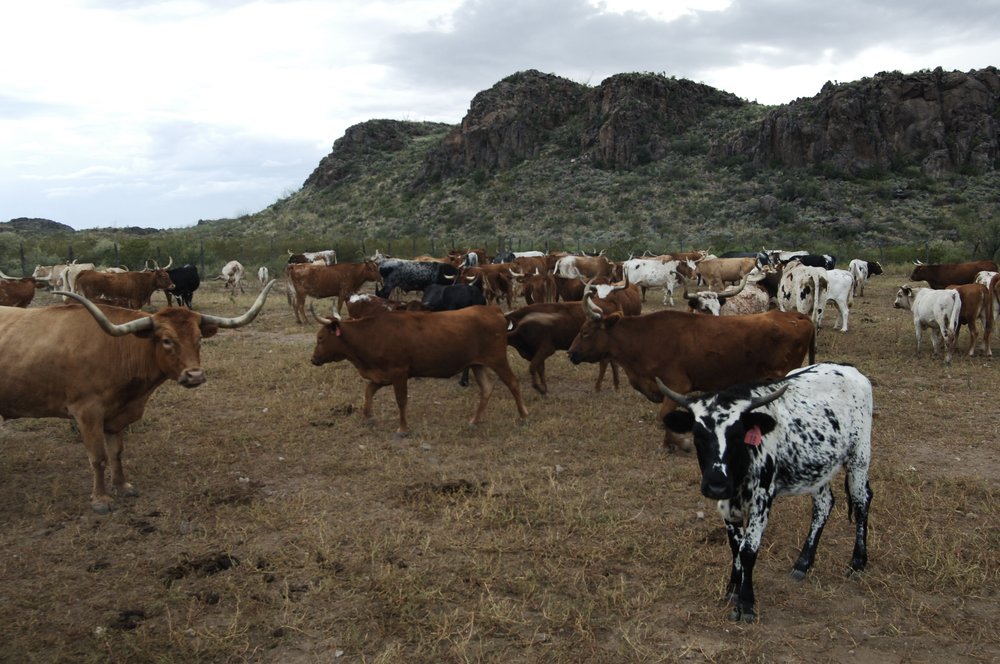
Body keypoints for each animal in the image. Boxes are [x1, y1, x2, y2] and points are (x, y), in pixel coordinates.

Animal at [0, 281, 277, 513]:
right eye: (166, 340)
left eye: (198, 338)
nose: (195, 376)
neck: (117, 348)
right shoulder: (86, 412)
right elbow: (98, 457)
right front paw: (100, 499)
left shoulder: (116, 415)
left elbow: (116, 452)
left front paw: (122, 487)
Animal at [309, 305, 528, 436]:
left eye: (320, 338)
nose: (313, 359)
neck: (371, 334)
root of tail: (495, 311)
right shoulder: (382, 375)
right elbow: (368, 391)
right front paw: (368, 416)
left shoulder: (399, 372)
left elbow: (401, 400)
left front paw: (403, 428)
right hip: (477, 364)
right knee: (487, 388)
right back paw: (475, 420)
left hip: (497, 360)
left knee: (513, 383)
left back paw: (523, 416)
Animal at [567, 291, 816, 450]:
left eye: (586, 332)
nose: (571, 353)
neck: (645, 338)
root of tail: (796, 316)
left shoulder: (676, 385)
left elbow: (663, 416)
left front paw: (681, 443)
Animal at [658, 363, 873, 623]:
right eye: (698, 435)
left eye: (737, 435)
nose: (716, 485)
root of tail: (848, 368)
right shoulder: (727, 504)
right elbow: (735, 546)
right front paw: (733, 589)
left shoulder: (762, 500)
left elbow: (748, 550)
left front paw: (746, 604)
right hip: (818, 467)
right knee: (824, 505)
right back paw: (803, 563)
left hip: (859, 458)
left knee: (862, 503)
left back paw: (858, 562)